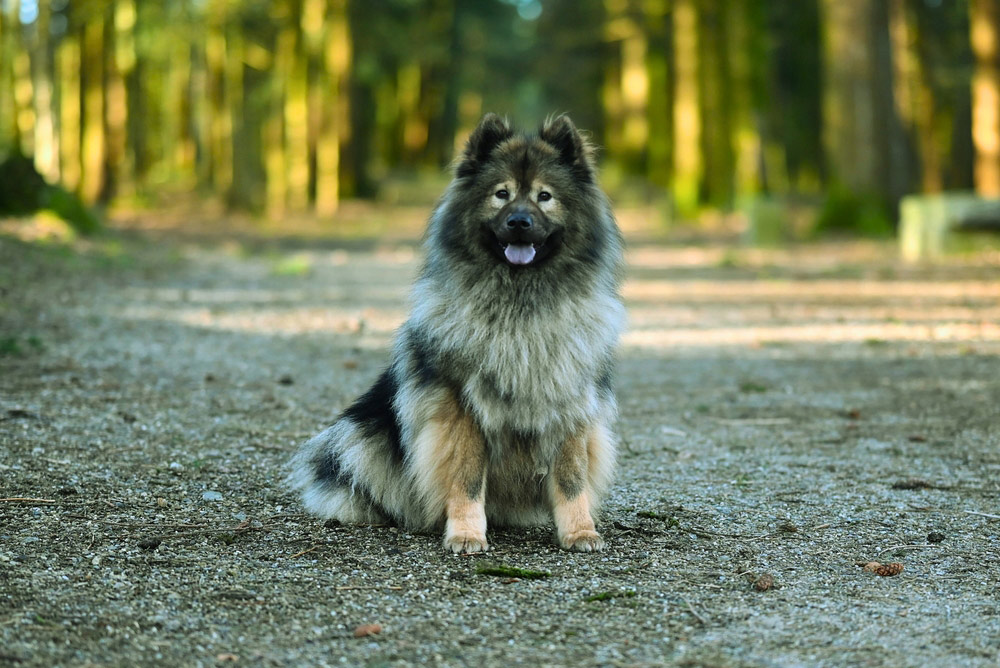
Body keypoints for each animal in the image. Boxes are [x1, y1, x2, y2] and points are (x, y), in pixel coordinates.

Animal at [286, 115, 620, 552]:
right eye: (501, 194)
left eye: (544, 196)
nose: (519, 222)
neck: (519, 304)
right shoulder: (461, 409)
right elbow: (466, 478)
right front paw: (465, 533)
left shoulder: (570, 404)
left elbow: (571, 479)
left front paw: (580, 531)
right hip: (357, 433)